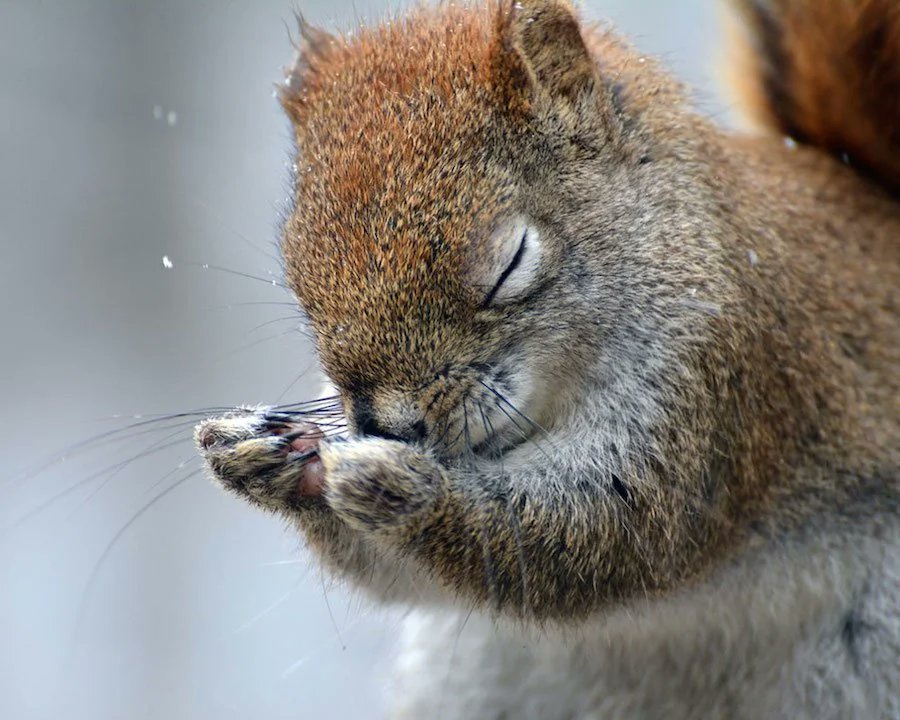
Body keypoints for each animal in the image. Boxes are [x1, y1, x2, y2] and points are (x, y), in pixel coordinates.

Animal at [196, 0, 900, 717]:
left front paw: (397, 486)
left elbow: (604, 533)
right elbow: (408, 578)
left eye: (510, 264)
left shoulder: (721, 380)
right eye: (298, 279)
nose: (387, 427)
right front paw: (257, 454)